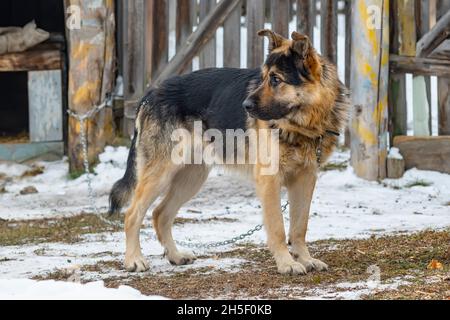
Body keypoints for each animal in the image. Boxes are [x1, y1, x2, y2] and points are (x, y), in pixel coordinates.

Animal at [110, 30, 352, 276]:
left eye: (276, 79)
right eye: (263, 78)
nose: (245, 105)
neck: (304, 125)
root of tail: (150, 93)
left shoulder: (305, 179)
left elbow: (299, 227)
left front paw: (305, 259)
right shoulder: (269, 181)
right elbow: (278, 228)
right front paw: (287, 263)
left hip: (191, 178)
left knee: (160, 214)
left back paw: (175, 255)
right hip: (161, 174)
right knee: (133, 214)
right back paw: (134, 260)